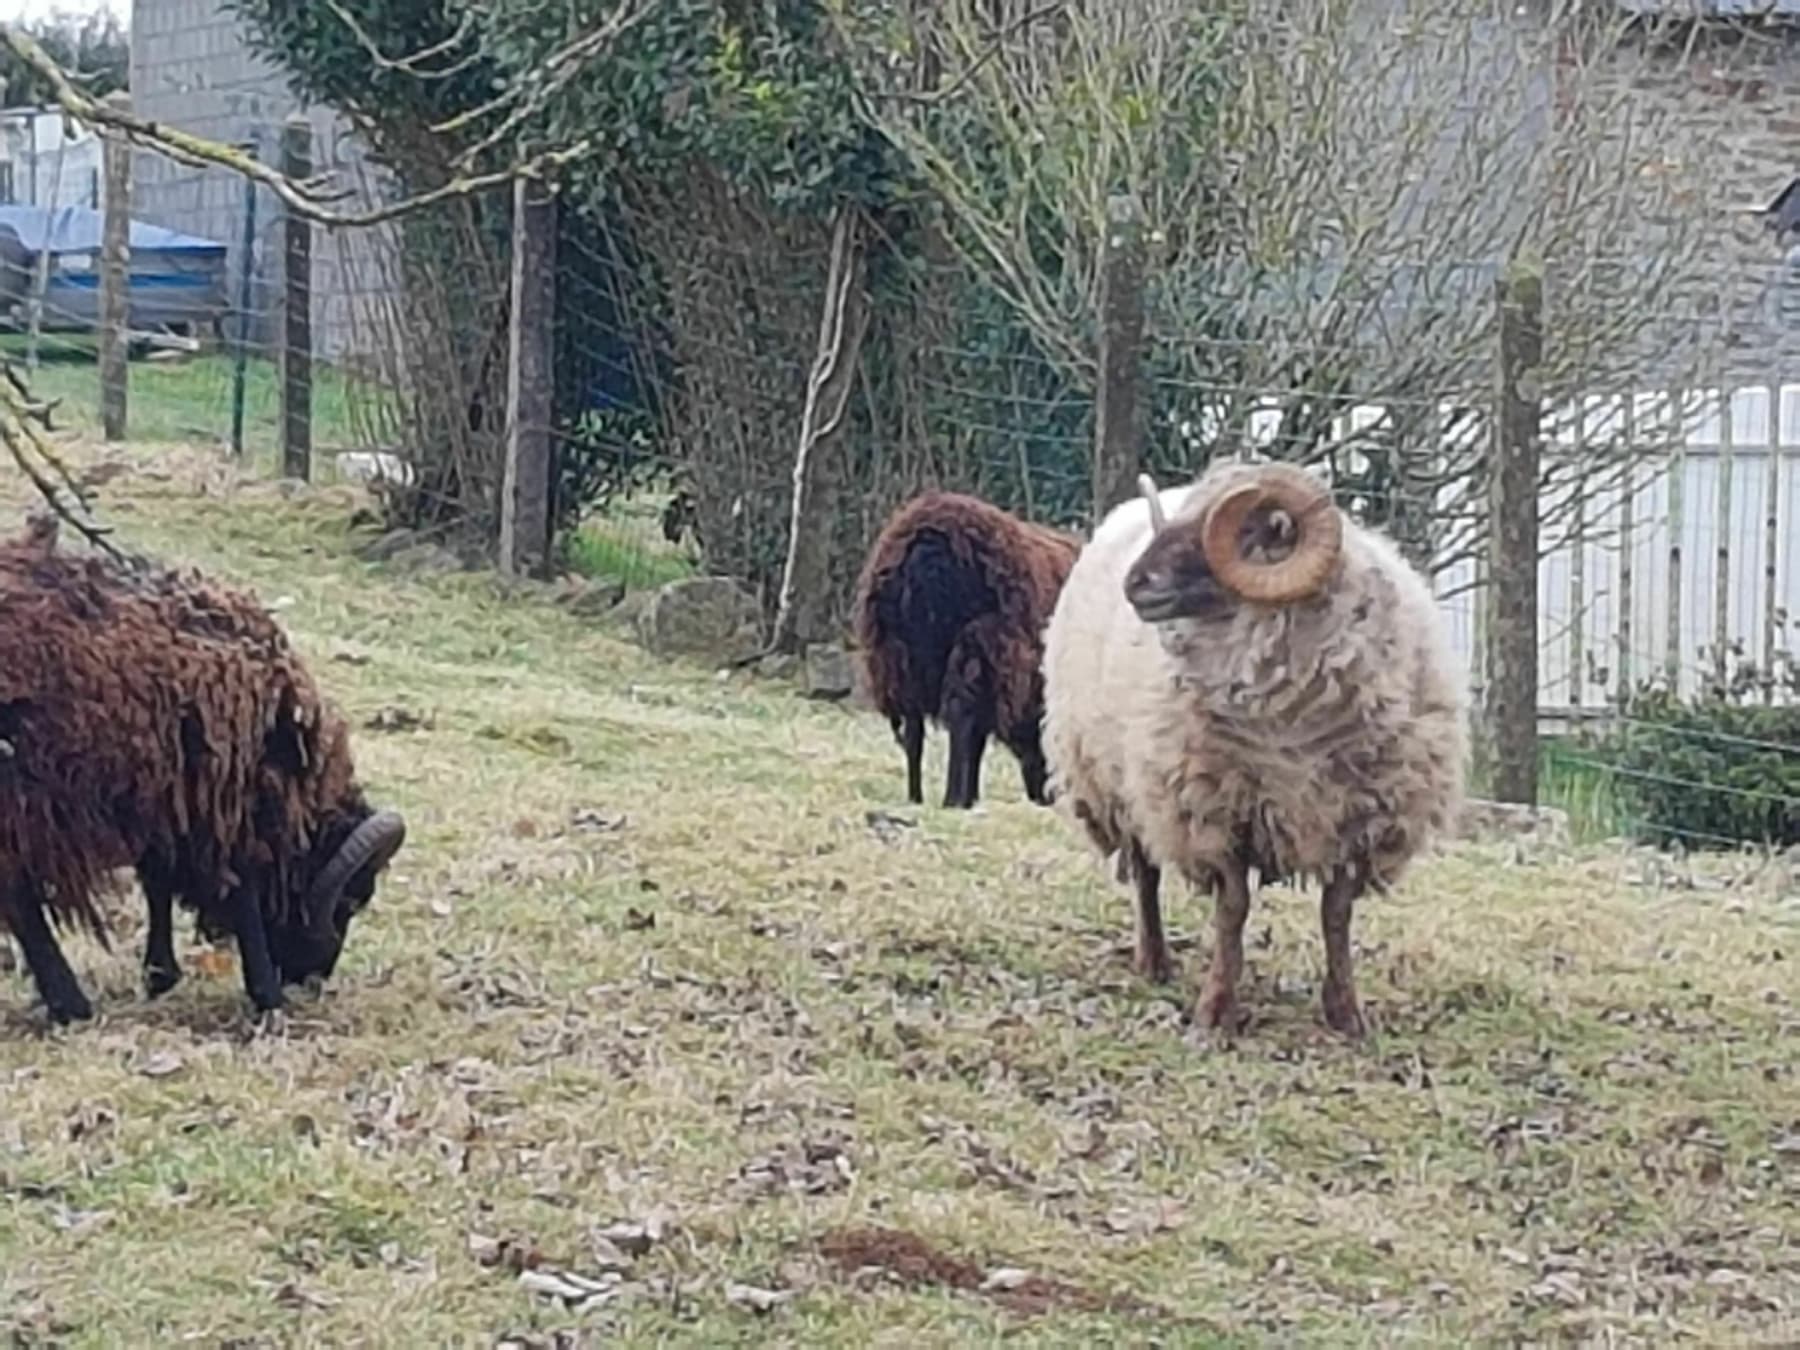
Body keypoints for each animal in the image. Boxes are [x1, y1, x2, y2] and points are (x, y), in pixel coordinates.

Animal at [0, 518, 406, 1022]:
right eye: (350, 899)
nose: (313, 979)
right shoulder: (224, 800)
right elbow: (243, 895)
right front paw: (266, 994)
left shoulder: (166, 792)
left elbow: (157, 880)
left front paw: (160, 974)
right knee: (20, 898)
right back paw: (70, 1002)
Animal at [849, 496, 1072, 813]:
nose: (1045, 798)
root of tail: (929, 546)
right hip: (975, 641)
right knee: (959, 715)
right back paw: (952, 798)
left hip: (899, 656)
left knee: (915, 729)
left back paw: (916, 798)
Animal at [1036, 460, 1468, 1044]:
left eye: (1246, 531)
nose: (1135, 582)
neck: (1292, 731)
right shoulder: (1214, 809)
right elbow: (1233, 911)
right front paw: (1214, 1012)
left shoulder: (1360, 817)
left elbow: (1336, 915)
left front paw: (1346, 1014)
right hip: (1118, 783)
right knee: (1145, 872)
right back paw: (1154, 960)